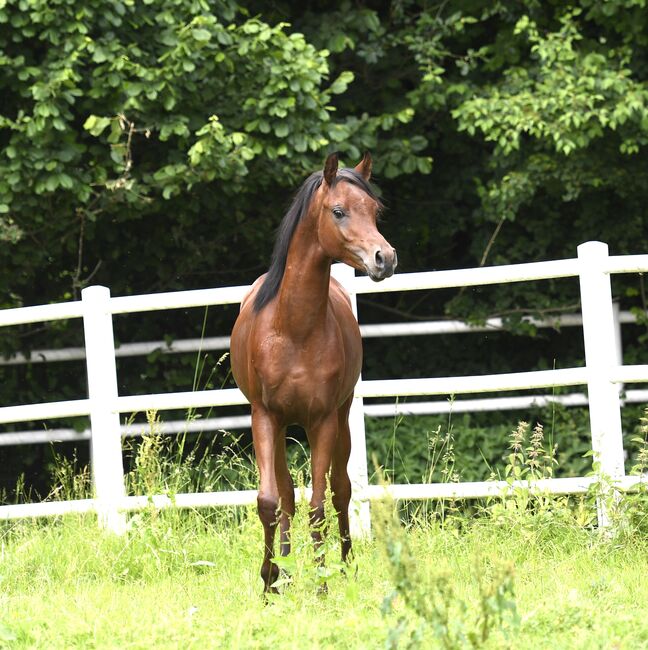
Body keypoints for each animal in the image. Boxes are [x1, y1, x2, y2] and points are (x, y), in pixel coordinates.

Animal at [230, 151, 398, 588]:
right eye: (338, 211)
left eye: (374, 210)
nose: (385, 258)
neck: (293, 330)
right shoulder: (265, 417)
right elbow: (270, 501)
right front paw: (270, 580)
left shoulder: (322, 420)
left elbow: (319, 505)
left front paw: (322, 585)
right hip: (284, 427)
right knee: (288, 494)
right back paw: (288, 567)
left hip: (341, 417)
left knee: (340, 491)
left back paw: (344, 565)